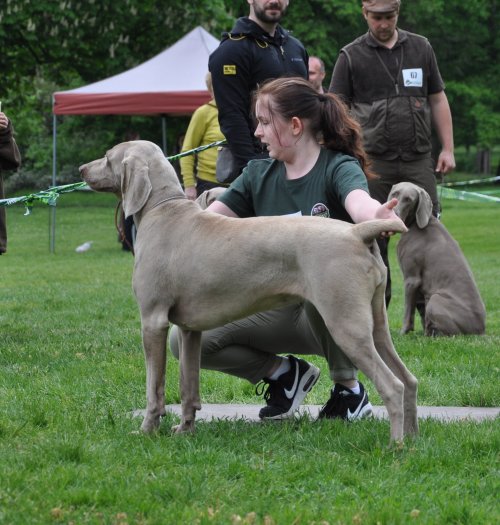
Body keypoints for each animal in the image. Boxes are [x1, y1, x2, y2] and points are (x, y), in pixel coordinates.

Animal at [81, 139, 418, 442]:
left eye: (108, 157)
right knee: (409, 379)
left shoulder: (153, 321)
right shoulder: (190, 330)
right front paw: (185, 430)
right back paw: (413, 438)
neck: (164, 210)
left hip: (344, 322)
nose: (82, 169)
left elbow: (155, 386)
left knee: (393, 385)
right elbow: (188, 385)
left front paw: (147, 430)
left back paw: (396, 446)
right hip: (375, 324)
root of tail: (357, 231)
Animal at [388, 181, 486, 336]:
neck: (416, 224)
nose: (394, 215)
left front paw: (403, 332)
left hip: (435, 299)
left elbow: (408, 310)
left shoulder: (411, 279)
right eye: (394, 194)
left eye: (408, 199)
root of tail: (481, 330)